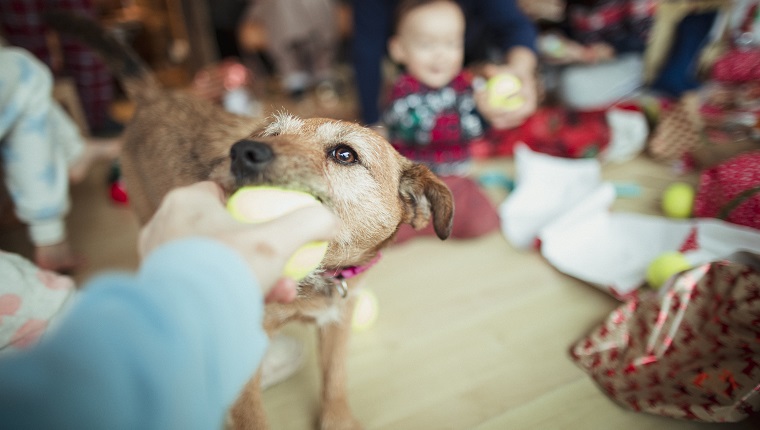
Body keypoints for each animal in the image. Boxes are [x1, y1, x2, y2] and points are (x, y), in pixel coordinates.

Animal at [50, 11, 454, 428]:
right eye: (272, 134)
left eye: (345, 154)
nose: (242, 152)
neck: (318, 279)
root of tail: (155, 96)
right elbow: (253, 417)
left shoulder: (337, 320)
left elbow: (335, 380)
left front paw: (338, 418)